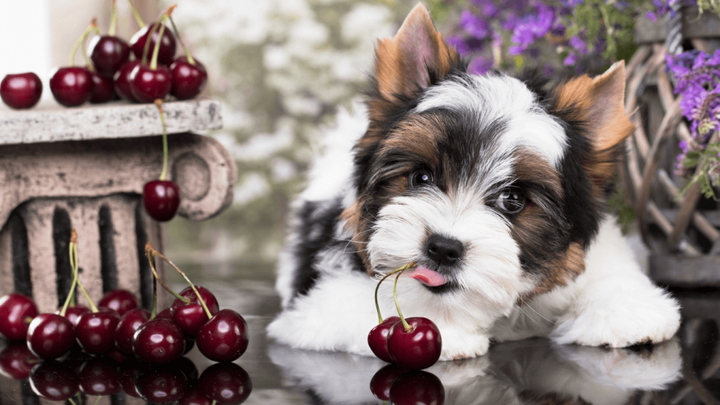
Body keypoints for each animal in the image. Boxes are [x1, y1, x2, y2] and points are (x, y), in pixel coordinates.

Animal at [268, 2, 680, 356]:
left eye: (513, 199)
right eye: (420, 177)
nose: (443, 248)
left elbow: (606, 273)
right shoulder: (316, 304)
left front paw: (624, 311)